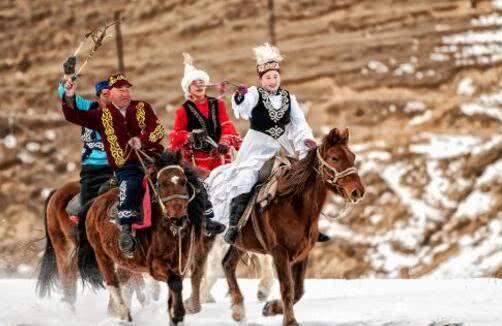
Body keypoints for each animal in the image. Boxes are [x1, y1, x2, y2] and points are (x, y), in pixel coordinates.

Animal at [82, 152, 206, 324]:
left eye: (183, 181)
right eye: (161, 184)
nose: (178, 218)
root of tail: (95, 203)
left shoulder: (180, 263)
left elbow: (174, 289)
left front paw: (175, 317)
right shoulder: (156, 264)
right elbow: (175, 284)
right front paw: (179, 314)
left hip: (125, 263)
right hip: (101, 255)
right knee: (113, 284)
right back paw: (124, 315)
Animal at [224, 128, 364, 326]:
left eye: (352, 156)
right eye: (334, 157)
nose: (357, 191)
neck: (294, 205)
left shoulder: (302, 253)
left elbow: (298, 290)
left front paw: (271, 308)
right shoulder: (279, 252)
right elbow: (287, 287)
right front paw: (290, 320)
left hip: (241, 244)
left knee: (227, 264)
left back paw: (237, 310)